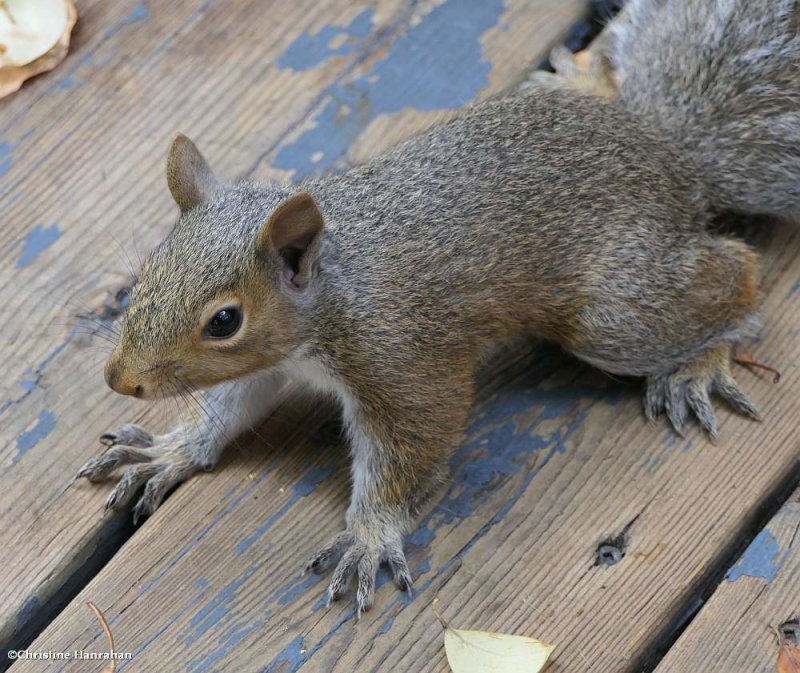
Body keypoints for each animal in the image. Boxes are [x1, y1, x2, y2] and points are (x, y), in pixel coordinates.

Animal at [76, 0, 800, 616]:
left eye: (225, 321)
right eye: (147, 272)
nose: (118, 379)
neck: (330, 298)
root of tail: (670, 156)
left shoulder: (404, 360)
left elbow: (414, 445)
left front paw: (370, 534)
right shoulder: (268, 366)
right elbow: (226, 408)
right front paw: (170, 450)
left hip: (616, 315)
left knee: (734, 272)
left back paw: (701, 362)